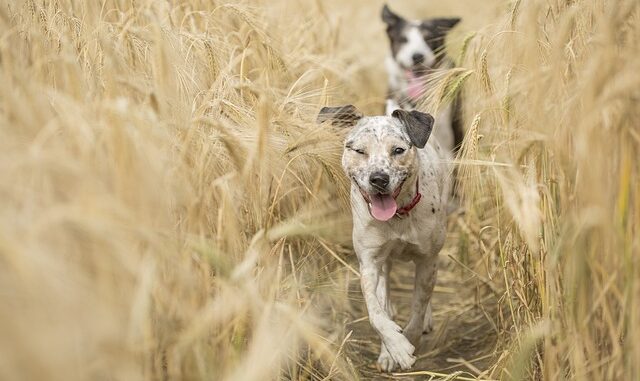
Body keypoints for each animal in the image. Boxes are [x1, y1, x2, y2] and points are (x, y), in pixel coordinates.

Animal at [316, 104, 450, 372]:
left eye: (398, 150)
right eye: (359, 150)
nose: (379, 178)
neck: (398, 216)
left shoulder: (427, 260)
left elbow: (418, 308)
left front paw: (407, 341)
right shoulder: (369, 262)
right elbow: (375, 312)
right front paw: (394, 348)